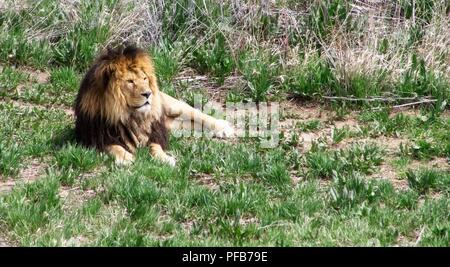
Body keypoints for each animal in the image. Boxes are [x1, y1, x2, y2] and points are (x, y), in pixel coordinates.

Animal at [73, 46, 236, 168]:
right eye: (130, 81)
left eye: (144, 78)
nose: (148, 93)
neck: (129, 115)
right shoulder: (97, 138)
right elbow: (114, 147)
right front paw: (125, 158)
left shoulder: (155, 131)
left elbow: (155, 146)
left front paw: (164, 158)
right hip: (173, 126)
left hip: (173, 106)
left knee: (197, 114)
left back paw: (223, 128)